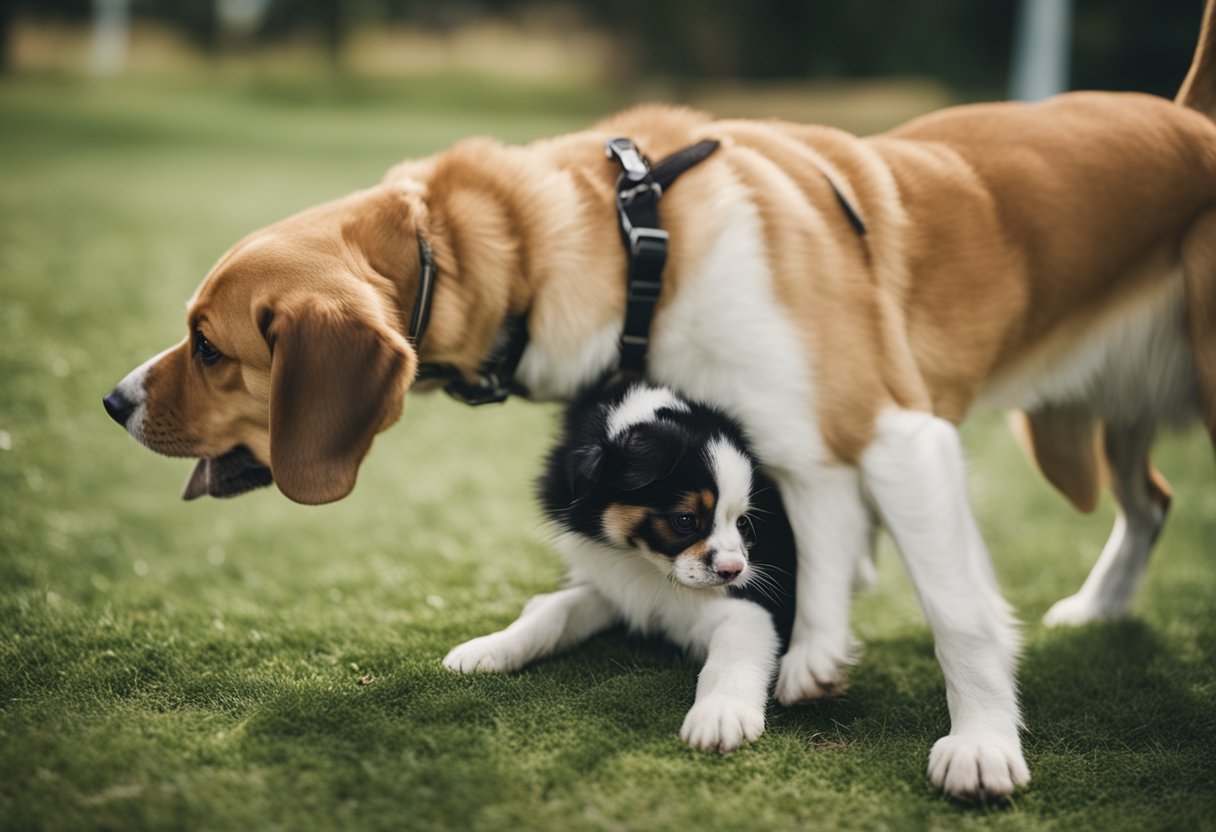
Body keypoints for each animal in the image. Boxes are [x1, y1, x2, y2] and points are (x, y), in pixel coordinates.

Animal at [442, 379, 792, 754]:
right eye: (685, 520)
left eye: (743, 522)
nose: (734, 571)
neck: (643, 564)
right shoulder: (613, 583)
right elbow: (553, 611)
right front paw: (486, 649)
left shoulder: (748, 605)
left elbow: (733, 652)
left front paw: (720, 715)